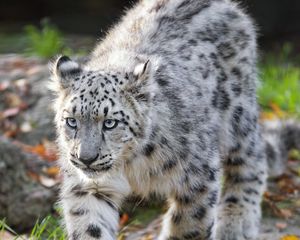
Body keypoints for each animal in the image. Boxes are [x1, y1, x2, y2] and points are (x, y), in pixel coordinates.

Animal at [48, 0, 298, 240]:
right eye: (71, 121)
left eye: (110, 123)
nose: (86, 158)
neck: (130, 165)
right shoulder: (87, 187)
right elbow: (90, 226)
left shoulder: (198, 174)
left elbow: (190, 226)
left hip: (237, 112)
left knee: (251, 159)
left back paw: (236, 221)